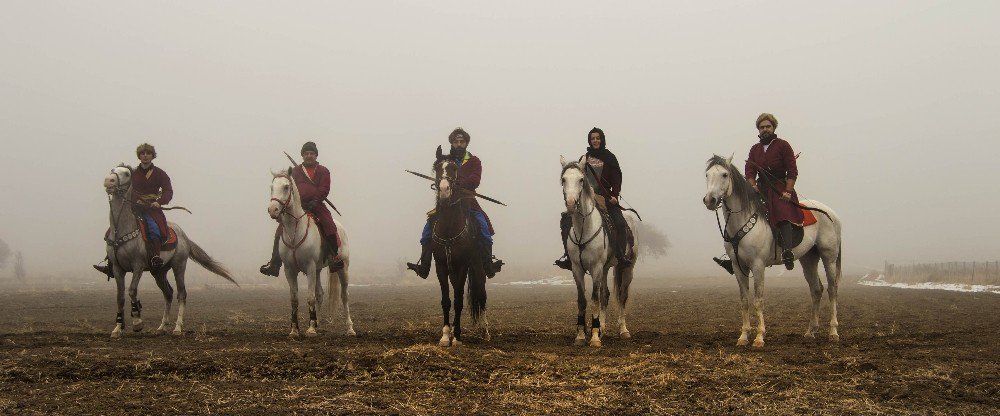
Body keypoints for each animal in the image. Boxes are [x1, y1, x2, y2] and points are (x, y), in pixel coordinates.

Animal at [102, 163, 237, 338]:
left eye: (126, 173)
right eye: (112, 171)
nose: (108, 181)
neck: (122, 229)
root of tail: (184, 236)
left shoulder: (138, 266)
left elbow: (132, 291)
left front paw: (137, 322)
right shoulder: (118, 269)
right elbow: (120, 297)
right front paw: (117, 328)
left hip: (179, 266)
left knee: (181, 294)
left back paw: (177, 328)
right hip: (159, 271)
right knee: (168, 293)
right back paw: (162, 327)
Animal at [270, 168, 356, 338]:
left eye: (286, 187)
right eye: (271, 187)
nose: (273, 210)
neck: (295, 231)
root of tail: (340, 227)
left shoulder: (309, 267)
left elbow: (310, 297)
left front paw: (310, 329)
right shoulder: (289, 270)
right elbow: (294, 299)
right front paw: (295, 330)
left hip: (343, 268)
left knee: (345, 296)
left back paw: (349, 328)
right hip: (317, 269)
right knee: (320, 294)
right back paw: (318, 324)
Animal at [432, 145, 490, 346]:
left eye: (454, 169)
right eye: (437, 167)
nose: (444, 189)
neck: (449, 228)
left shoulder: (463, 266)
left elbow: (458, 301)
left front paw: (456, 337)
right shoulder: (441, 266)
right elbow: (446, 300)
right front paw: (445, 336)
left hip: (478, 267)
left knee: (481, 295)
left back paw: (485, 331)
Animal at [560, 154, 636, 346]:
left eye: (581, 179)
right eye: (563, 179)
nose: (571, 204)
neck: (584, 229)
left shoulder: (595, 268)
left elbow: (594, 300)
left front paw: (594, 338)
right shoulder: (577, 269)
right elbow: (582, 300)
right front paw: (581, 336)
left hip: (627, 267)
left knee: (622, 295)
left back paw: (623, 330)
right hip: (606, 268)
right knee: (605, 295)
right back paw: (602, 328)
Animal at [704, 154, 844, 346]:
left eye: (724, 174)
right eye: (707, 175)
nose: (709, 200)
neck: (742, 221)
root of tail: (832, 214)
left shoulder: (758, 265)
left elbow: (758, 300)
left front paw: (759, 337)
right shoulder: (739, 267)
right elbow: (744, 301)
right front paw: (743, 336)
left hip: (828, 257)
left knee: (832, 290)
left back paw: (833, 332)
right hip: (808, 259)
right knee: (816, 290)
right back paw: (810, 331)